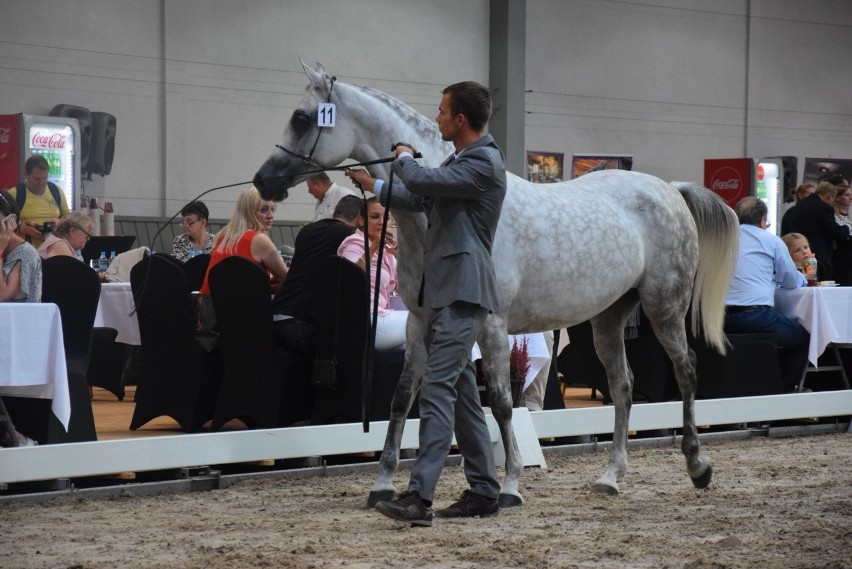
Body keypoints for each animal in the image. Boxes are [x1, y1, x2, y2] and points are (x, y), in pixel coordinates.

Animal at [251, 62, 740, 506]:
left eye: (302, 118)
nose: (263, 180)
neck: (433, 210)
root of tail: (671, 190)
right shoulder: (419, 322)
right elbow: (402, 397)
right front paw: (384, 483)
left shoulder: (493, 325)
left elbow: (503, 404)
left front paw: (510, 485)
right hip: (609, 317)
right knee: (621, 386)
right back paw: (610, 477)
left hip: (664, 308)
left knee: (686, 370)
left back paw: (697, 465)